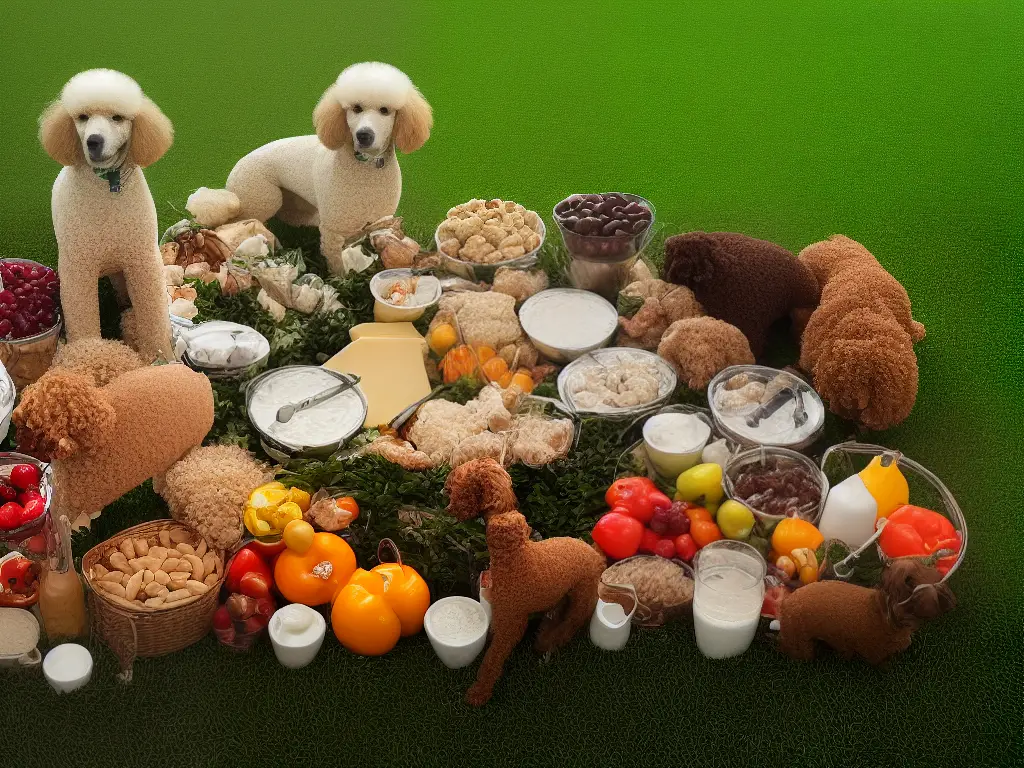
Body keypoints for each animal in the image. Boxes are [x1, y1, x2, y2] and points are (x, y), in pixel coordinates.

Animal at [448, 460, 606, 708]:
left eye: (458, 485)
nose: (448, 508)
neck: (515, 556)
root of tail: (596, 554)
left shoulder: (511, 622)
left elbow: (492, 658)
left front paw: (479, 692)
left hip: (583, 596)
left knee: (571, 623)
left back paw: (551, 641)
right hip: (562, 594)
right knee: (557, 616)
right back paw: (544, 638)